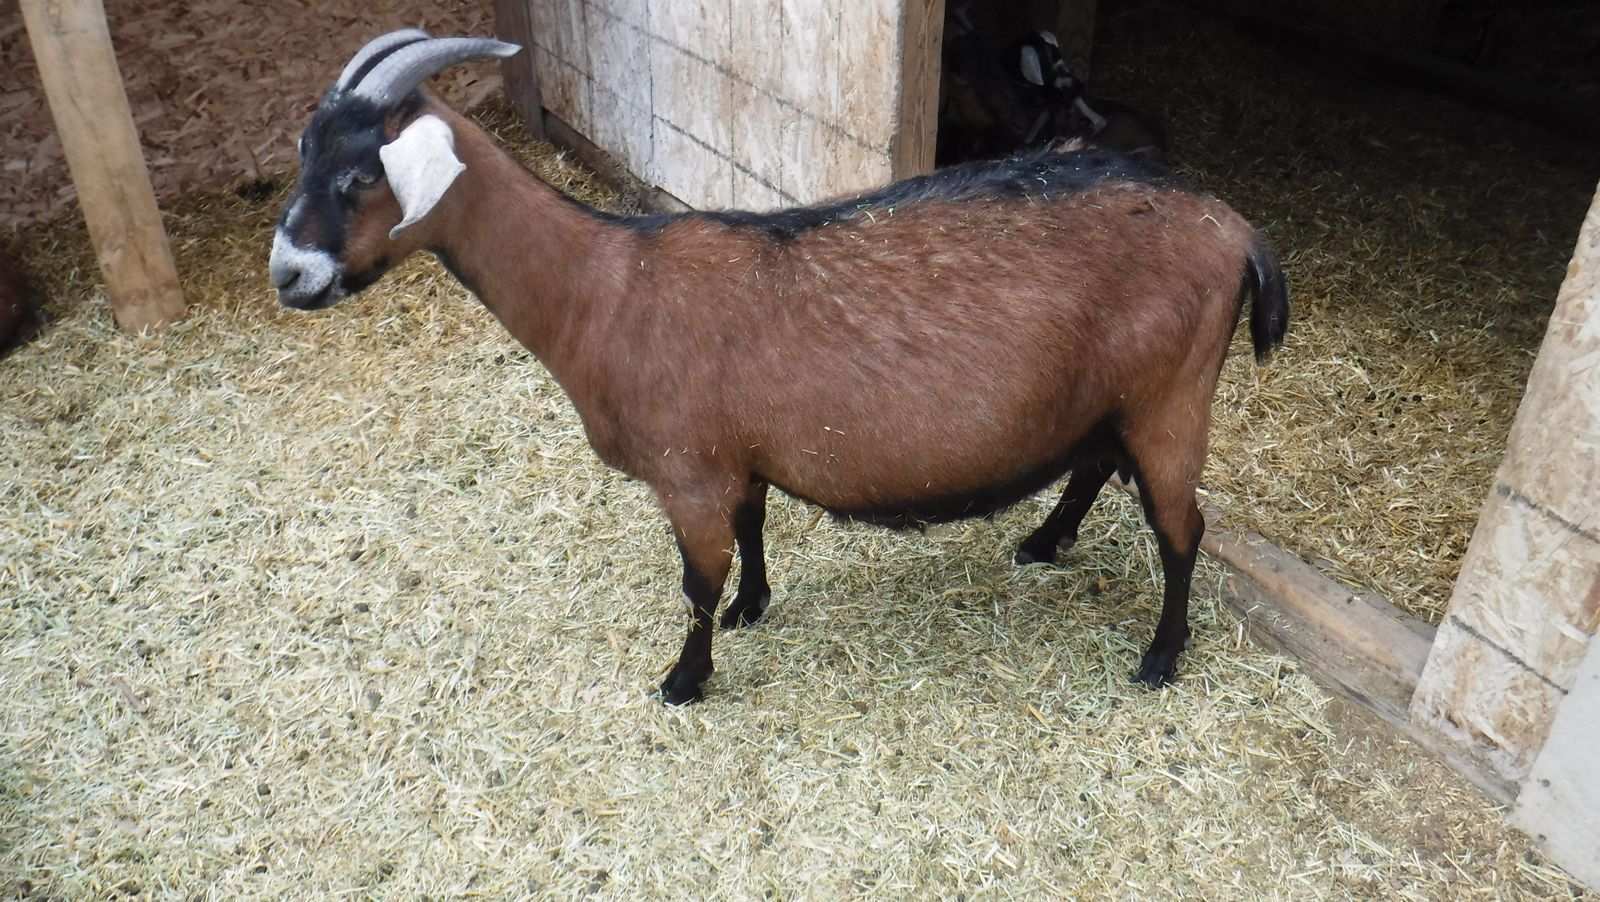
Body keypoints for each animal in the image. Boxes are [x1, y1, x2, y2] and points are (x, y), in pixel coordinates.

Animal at [269, 31, 1289, 704]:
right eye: (304, 155)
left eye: (362, 174)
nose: (288, 275)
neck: (606, 289)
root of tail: (1234, 230)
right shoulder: (732, 459)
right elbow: (753, 529)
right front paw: (754, 608)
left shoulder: (686, 474)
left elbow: (696, 580)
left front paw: (685, 678)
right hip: (1113, 394)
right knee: (1095, 464)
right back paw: (1043, 542)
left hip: (1172, 396)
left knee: (1180, 528)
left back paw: (1159, 659)